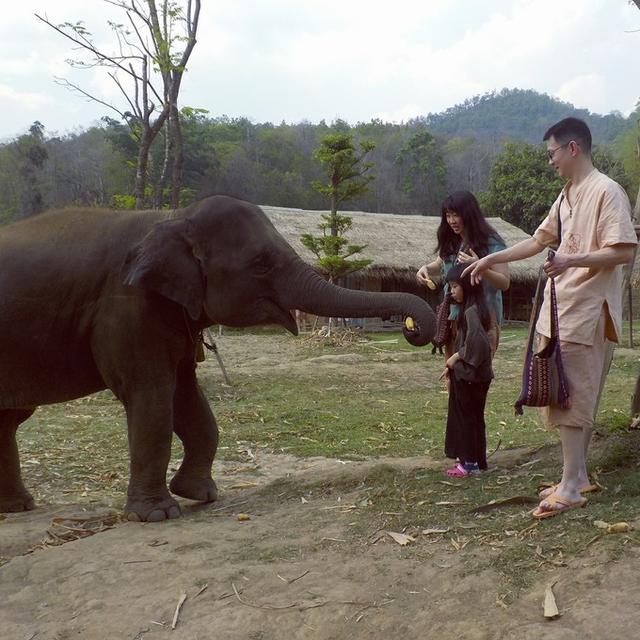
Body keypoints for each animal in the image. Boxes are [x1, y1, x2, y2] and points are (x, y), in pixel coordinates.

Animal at [0, 195, 436, 520]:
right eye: (261, 263)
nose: (412, 326)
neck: (171, 218)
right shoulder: (126, 308)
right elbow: (151, 395)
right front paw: (157, 514)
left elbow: (188, 397)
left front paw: (200, 494)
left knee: (10, 419)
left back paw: (17, 508)